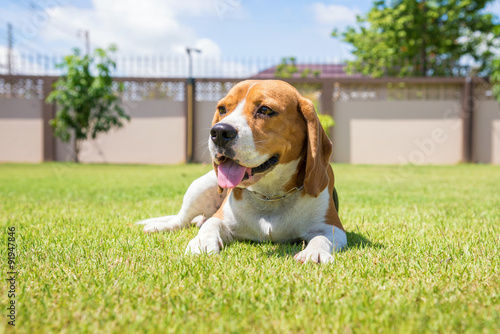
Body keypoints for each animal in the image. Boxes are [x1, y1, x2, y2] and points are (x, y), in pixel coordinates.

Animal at [139, 79, 346, 262]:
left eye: (265, 110)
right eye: (222, 109)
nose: (219, 132)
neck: (269, 195)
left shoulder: (333, 227)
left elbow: (322, 238)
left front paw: (314, 252)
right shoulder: (221, 219)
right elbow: (210, 224)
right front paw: (201, 242)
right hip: (202, 185)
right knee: (181, 220)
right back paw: (159, 226)